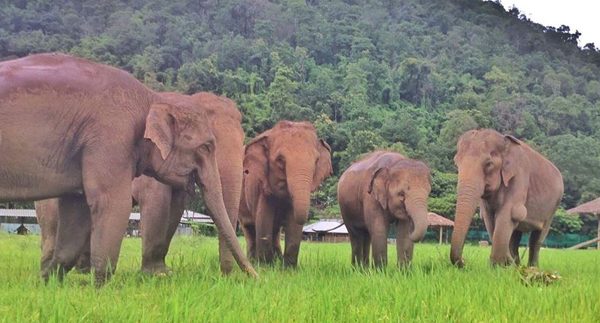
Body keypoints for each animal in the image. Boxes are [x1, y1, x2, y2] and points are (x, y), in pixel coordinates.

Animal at [32, 91, 244, 276]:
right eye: (207, 146)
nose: (230, 276)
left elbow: (175, 208)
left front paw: (165, 272)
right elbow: (157, 204)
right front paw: (156, 275)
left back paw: (82, 271)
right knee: (52, 222)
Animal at [239, 121, 332, 268]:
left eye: (316, 161)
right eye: (280, 160)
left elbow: (293, 224)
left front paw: (288, 269)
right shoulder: (261, 186)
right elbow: (263, 220)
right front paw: (266, 267)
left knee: (274, 230)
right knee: (249, 228)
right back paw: (255, 262)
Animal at [452, 129, 564, 268]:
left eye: (489, 164)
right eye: (456, 163)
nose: (464, 260)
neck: (504, 141)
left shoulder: (519, 176)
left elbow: (510, 213)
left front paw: (500, 265)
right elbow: (489, 217)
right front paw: (504, 266)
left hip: (553, 207)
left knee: (537, 237)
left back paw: (531, 267)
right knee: (516, 236)